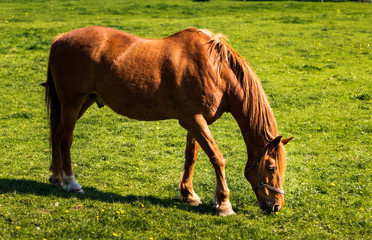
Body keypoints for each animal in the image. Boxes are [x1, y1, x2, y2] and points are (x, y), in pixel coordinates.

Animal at [44, 26, 294, 216]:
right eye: (271, 167)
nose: (276, 206)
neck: (215, 69)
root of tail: (59, 38)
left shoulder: (195, 120)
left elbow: (191, 156)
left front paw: (188, 194)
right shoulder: (193, 119)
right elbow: (217, 157)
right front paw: (223, 203)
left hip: (83, 102)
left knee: (57, 134)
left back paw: (56, 178)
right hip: (72, 102)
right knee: (66, 139)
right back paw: (71, 183)